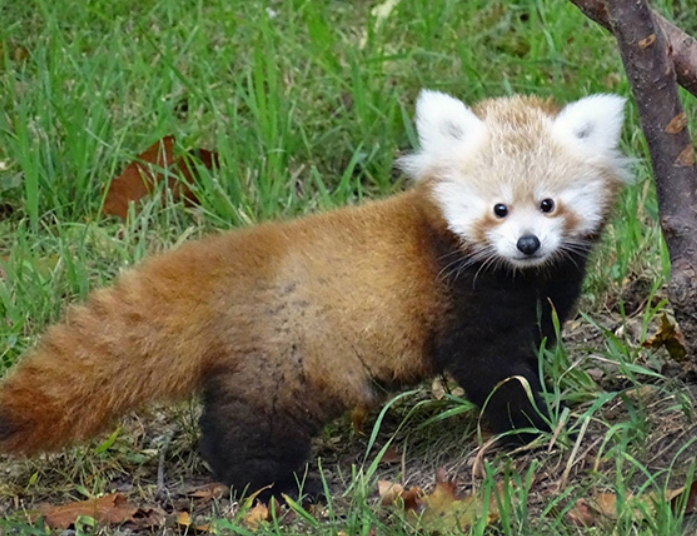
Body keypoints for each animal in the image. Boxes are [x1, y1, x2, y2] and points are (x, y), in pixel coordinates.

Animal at [0, 91, 632, 498]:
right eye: (498, 208)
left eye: (547, 204)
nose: (527, 243)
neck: (518, 277)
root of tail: (234, 262)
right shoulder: (466, 303)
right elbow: (494, 371)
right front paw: (534, 421)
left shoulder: (543, 296)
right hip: (290, 353)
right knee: (254, 424)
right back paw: (279, 486)